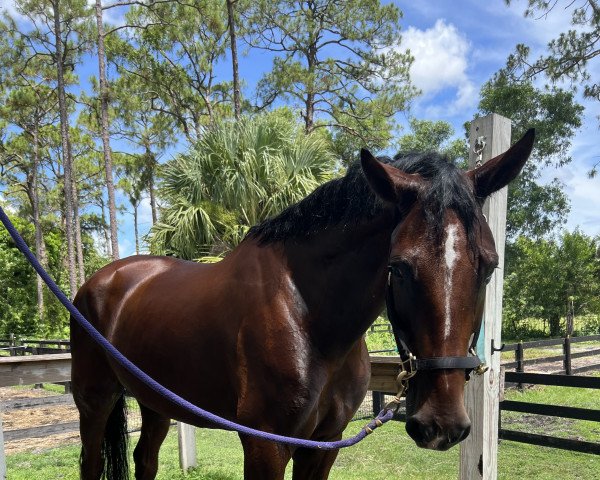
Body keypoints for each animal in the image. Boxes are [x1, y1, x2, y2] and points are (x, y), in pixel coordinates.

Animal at [70, 129, 536, 478]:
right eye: (400, 267)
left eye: (489, 265)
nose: (440, 425)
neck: (309, 317)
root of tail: (100, 281)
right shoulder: (267, 445)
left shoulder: (323, 444)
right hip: (95, 401)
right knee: (91, 463)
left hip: (155, 403)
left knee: (144, 460)